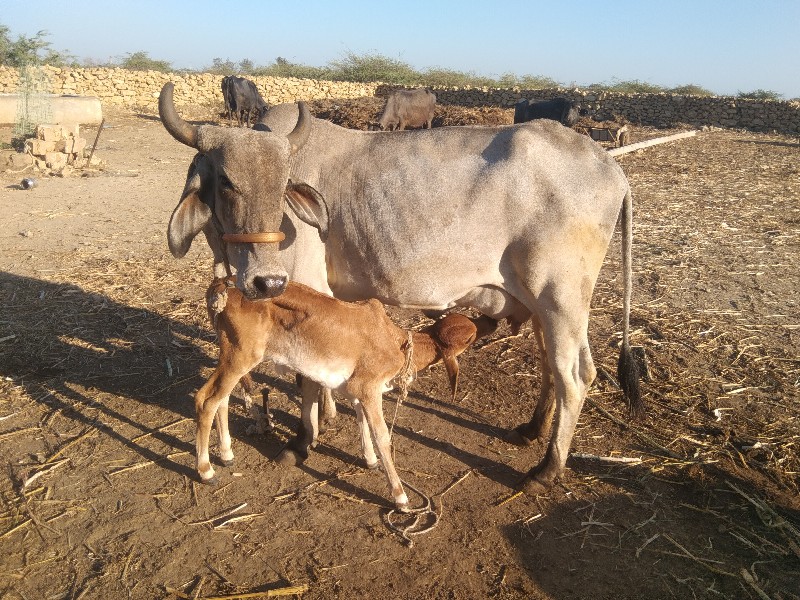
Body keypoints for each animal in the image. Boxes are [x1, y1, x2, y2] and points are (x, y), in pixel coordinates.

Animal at [159, 84, 640, 496]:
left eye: (281, 185)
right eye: (226, 182)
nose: (266, 280)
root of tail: (612, 165)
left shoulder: (304, 284)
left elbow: (305, 377)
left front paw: (301, 442)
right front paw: (330, 416)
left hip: (561, 297)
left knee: (574, 375)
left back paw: (547, 469)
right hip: (540, 304)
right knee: (549, 367)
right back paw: (531, 430)